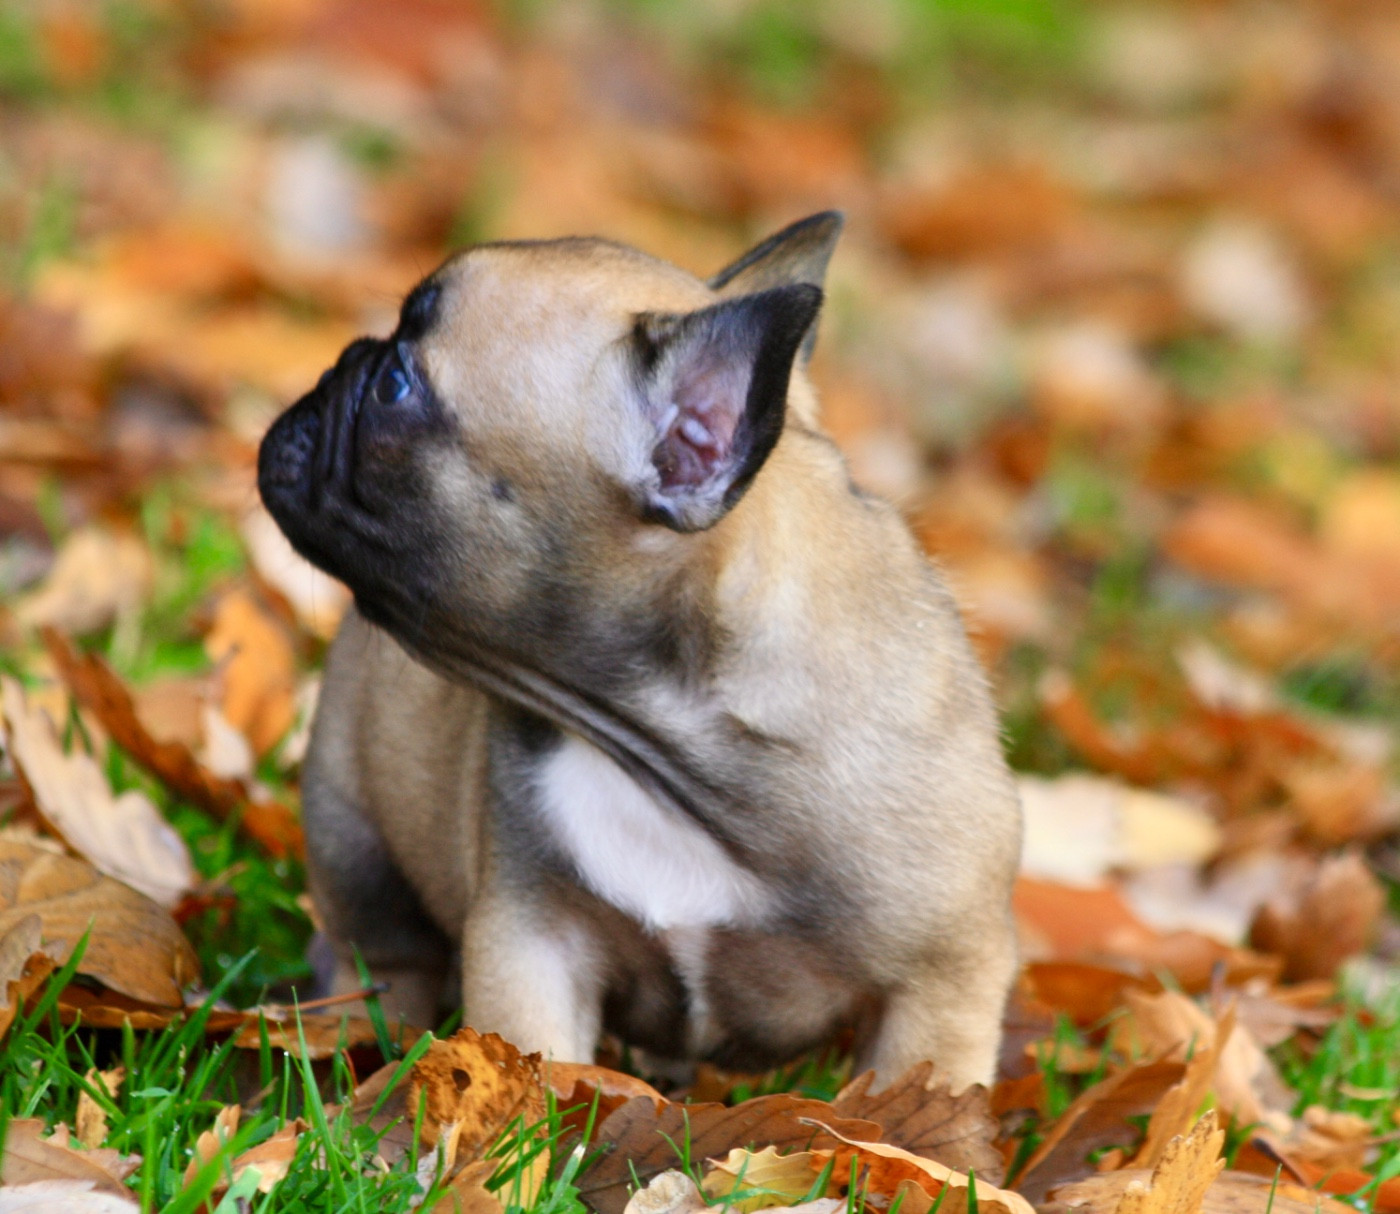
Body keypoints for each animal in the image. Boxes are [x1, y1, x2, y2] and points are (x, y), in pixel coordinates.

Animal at [258, 213, 1022, 1090]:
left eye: (394, 388)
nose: (342, 360)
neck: (661, 729)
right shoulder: (533, 941)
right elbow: (534, 1065)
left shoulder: (942, 981)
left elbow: (921, 1095)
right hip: (351, 823)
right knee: (381, 951)